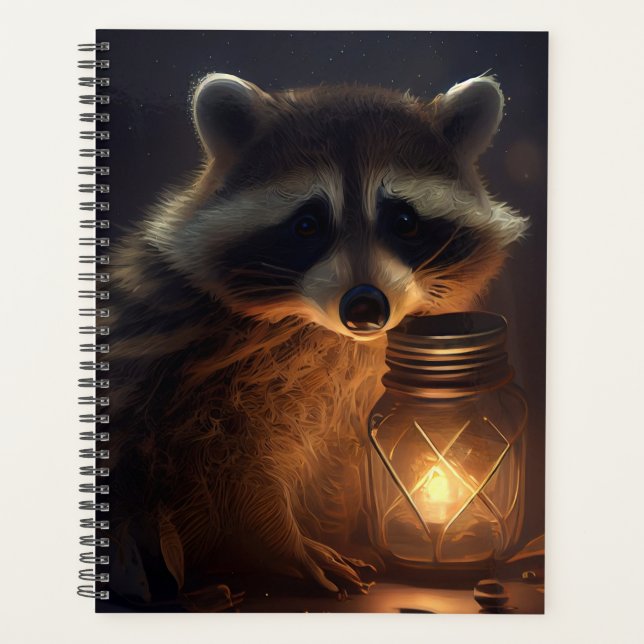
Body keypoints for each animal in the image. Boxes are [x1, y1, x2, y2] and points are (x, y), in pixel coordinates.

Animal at [107, 73, 527, 603]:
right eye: (307, 225)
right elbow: (235, 468)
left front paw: (339, 534)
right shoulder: (198, 382)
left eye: (404, 221)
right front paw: (281, 541)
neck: (339, 337)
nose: (365, 307)